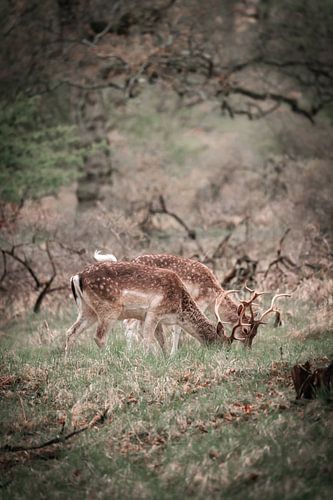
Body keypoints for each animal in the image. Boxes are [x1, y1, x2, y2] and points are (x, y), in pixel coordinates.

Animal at [64, 260, 228, 354]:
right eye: (223, 343)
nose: (225, 355)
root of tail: (76, 277)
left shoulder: (157, 319)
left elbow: (162, 341)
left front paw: (166, 358)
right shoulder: (154, 311)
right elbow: (148, 339)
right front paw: (146, 359)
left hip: (87, 310)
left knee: (71, 331)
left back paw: (67, 360)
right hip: (108, 308)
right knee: (99, 337)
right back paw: (111, 358)